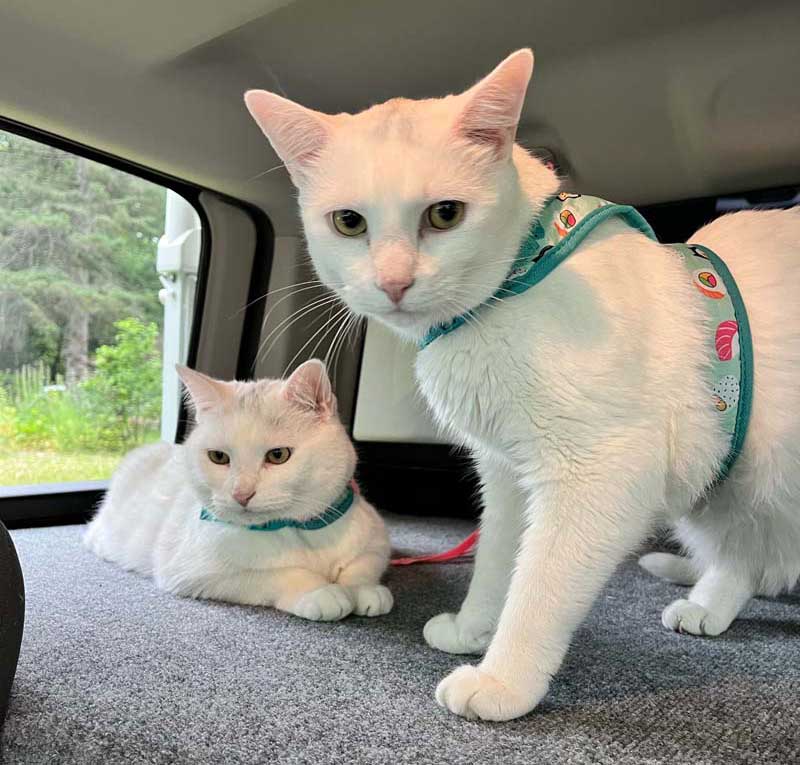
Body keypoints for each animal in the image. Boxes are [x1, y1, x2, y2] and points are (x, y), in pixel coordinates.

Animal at [85, 360, 394, 620]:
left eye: (278, 455)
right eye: (218, 457)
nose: (241, 494)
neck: (300, 530)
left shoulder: (377, 540)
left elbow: (363, 564)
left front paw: (363, 589)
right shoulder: (197, 572)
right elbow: (277, 574)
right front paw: (319, 591)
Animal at [244, 50, 800, 720]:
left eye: (445, 214)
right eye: (349, 223)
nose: (395, 282)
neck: (517, 283)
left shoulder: (600, 472)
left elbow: (539, 586)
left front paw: (503, 680)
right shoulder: (507, 473)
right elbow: (496, 562)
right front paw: (473, 630)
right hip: (724, 481)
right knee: (748, 553)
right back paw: (706, 605)